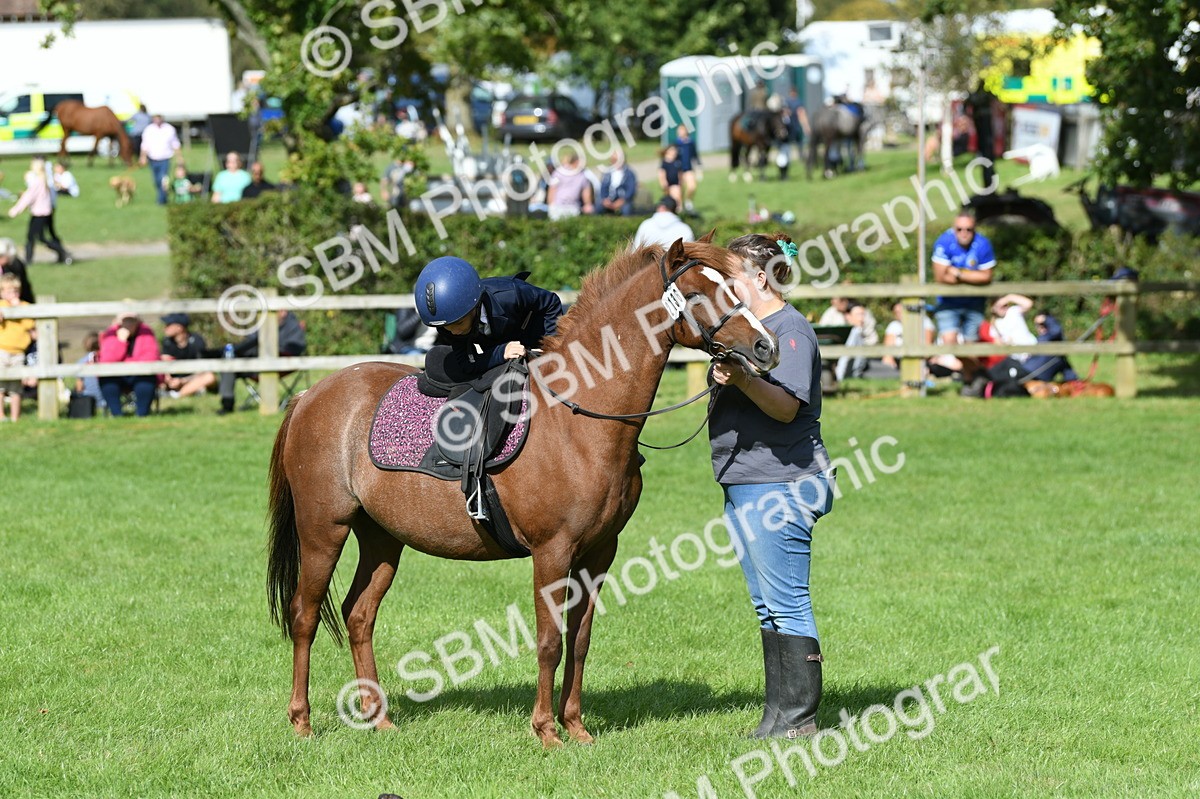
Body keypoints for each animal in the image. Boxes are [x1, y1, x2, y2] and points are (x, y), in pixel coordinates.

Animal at [266, 236, 779, 747]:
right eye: (695, 295)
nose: (765, 347)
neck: (579, 419)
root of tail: (310, 395)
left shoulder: (600, 552)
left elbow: (580, 640)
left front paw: (576, 727)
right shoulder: (552, 552)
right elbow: (549, 641)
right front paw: (547, 730)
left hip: (382, 539)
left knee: (359, 615)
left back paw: (379, 718)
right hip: (323, 531)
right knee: (304, 615)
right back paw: (301, 721)